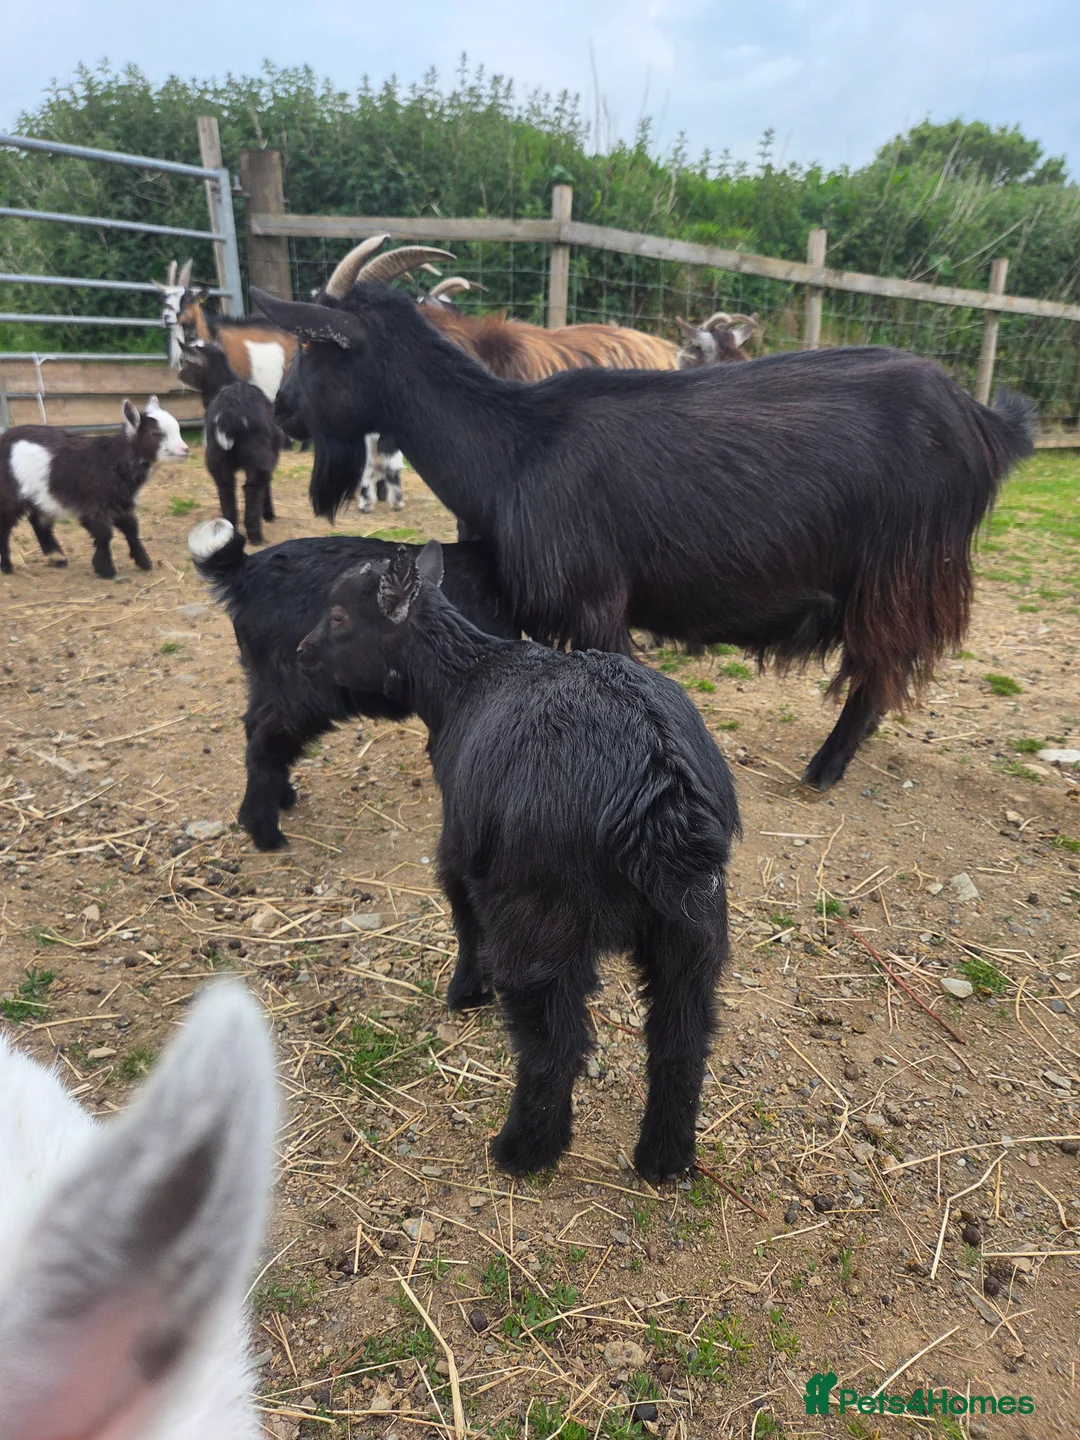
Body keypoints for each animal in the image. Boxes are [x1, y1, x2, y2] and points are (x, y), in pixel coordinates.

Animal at [0, 398, 189, 578]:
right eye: (156, 433)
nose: (185, 450)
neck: (112, 460)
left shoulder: (121, 502)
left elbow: (131, 529)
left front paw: (143, 561)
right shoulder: (93, 505)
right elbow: (104, 534)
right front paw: (105, 569)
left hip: (43, 494)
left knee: (38, 520)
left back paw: (57, 557)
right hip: (10, 492)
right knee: (5, 525)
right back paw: (7, 566)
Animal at [178, 341, 281, 544]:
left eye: (184, 363)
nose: (178, 375)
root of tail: (229, 414)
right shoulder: (270, 457)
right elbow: (268, 484)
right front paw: (269, 514)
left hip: (216, 456)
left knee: (226, 487)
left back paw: (228, 530)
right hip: (257, 455)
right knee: (253, 487)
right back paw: (256, 536)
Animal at [187, 517, 516, 851]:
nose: (303, 649)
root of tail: (243, 573)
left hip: (267, 682)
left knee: (255, 729)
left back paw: (283, 798)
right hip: (297, 691)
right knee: (265, 745)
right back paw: (266, 833)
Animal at [255, 247, 1036, 789]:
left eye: (316, 344)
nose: (280, 411)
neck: (514, 447)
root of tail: (982, 421)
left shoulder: (597, 601)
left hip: (899, 570)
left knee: (880, 670)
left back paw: (825, 767)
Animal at [299, 541, 739, 1179]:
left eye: (337, 617)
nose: (301, 653)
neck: (465, 680)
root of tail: (656, 787)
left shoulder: (460, 849)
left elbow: (464, 919)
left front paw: (465, 992)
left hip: (542, 919)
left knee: (555, 1044)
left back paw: (524, 1149)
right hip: (694, 925)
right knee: (681, 1038)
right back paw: (664, 1158)